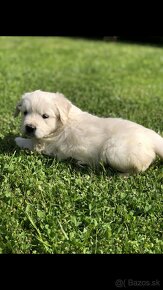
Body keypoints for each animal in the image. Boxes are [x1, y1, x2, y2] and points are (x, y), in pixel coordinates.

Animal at [14, 90, 163, 172]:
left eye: (45, 116)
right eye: (25, 112)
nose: (29, 127)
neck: (62, 122)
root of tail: (152, 137)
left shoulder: (43, 145)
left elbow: (27, 142)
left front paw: (17, 139)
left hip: (114, 151)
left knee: (140, 167)